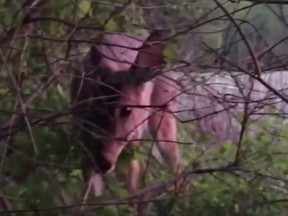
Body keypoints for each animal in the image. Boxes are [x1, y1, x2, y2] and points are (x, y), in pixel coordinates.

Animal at [71, 30, 186, 214]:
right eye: (93, 105)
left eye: (127, 109)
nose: (103, 162)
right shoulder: (82, 136)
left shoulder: (130, 142)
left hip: (164, 117)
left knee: (178, 165)